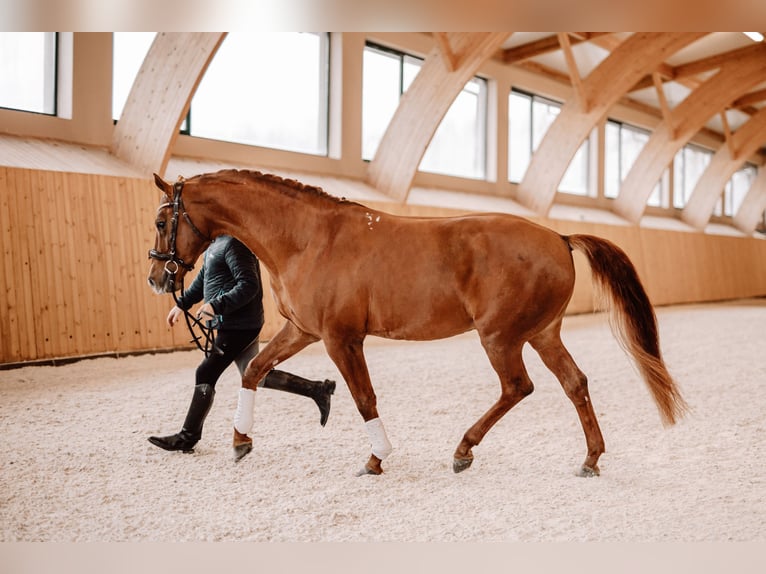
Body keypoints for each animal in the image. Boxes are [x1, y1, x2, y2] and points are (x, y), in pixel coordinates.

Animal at [147, 170, 688, 476]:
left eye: (160, 221)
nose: (157, 277)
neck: (309, 239)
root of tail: (558, 237)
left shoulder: (342, 339)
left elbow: (364, 399)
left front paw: (376, 459)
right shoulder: (303, 331)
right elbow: (257, 370)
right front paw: (241, 442)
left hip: (500, 337)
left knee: (518, 387)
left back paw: (464, 450)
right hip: (541, 334)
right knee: (574, 383)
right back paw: (590, 459)